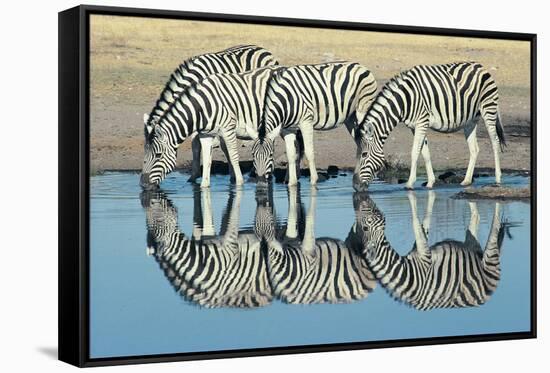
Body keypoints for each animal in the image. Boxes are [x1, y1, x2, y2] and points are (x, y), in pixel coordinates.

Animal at [141, 45, 278, 187]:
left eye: (158, 155)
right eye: (144, 152)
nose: (143, 184)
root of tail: (263, 49)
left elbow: (200, 145)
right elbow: (201, 147)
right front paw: (194, 177)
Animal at [354, 62, 508, 190]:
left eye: (364, 154)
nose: (355, 186)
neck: (404, 101)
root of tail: (481, 67)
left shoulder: (422, 122)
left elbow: (414, 152)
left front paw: (409, 183)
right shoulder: (415, 126)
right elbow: (425, 153)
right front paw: (430, 182)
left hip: (488, 109)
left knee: (495, 142)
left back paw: (498, 179)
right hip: (470, 120)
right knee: (474, 149)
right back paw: (466, 181)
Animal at [356, 190, 512, 310]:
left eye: (364, 227)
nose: (360, 200)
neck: (405, 273)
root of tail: (486, 297)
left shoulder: (424, 257)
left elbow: (415, 223)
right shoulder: (419, 252)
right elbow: (421, 227)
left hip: (490, 256)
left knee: (494, 231)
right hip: (472, 247)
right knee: (476, 220)